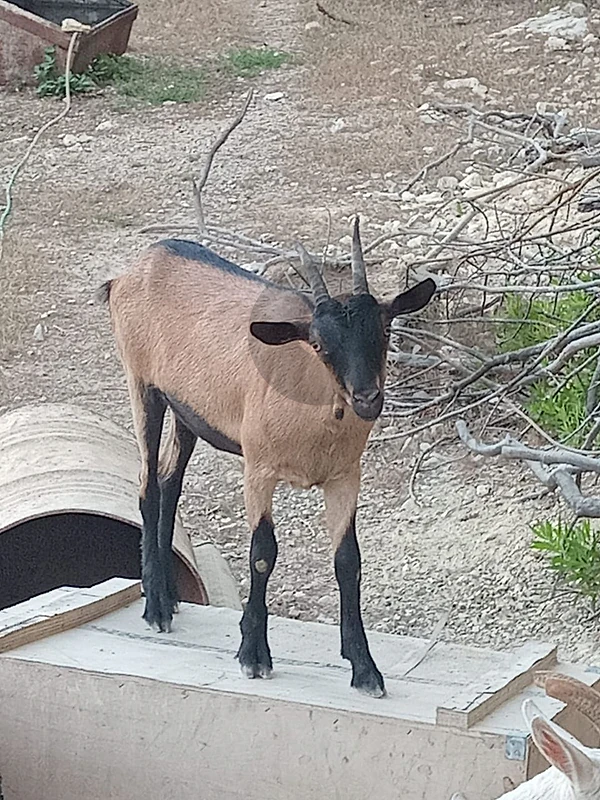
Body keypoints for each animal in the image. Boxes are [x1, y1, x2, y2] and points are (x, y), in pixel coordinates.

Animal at [100, 217, 436, 698]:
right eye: (319, 343)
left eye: (387, 330)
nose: (367, 398)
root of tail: (134, 269)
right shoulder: (258, 469)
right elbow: (262, 553)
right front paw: (253, 653)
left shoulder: (345, 475)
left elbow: (348, 562)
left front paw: (364, 667)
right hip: (142, 384)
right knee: (147, 485)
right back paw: (156, 607)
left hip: (187, 410)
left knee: (169, 481)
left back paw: (169, 593)